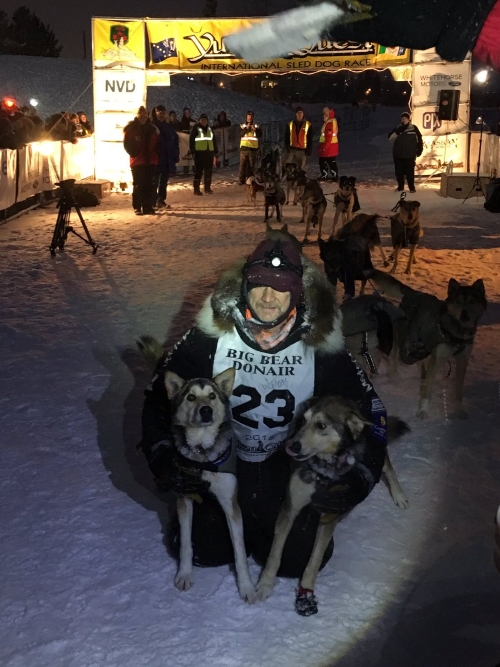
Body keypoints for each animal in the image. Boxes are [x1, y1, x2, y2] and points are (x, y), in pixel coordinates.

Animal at [137, 336, 256, 604]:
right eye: (191, 398)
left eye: (212, 396)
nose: (206, 410)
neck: (202, 452)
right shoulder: (185, 495)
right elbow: (185, 544)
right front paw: (184, 574)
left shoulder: (230, 502)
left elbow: (239, 550)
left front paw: (246, 586)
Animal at [256, 394, 408, 620]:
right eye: (302, 421)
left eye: (321, 425)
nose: (293, 446)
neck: (323, 471)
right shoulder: (290, 508)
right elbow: (275, 553)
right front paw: (265, 583)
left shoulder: (329, 517)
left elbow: (314, 562)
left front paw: (306, 594)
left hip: (375, 450)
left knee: (387, 465)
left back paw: (399, 494)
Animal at [370, 270, 486, 418]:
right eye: (458, 301)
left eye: (472, 301)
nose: (464, 315)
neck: (457, 332)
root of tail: (414, 293)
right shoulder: (437, 359)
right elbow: (428, 391)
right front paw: (423, 411)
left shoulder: (462, 360)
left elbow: (458, 390)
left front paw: (459, 410)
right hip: (406, 339)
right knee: (395, 354)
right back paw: (392, 374)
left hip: (424, 343)